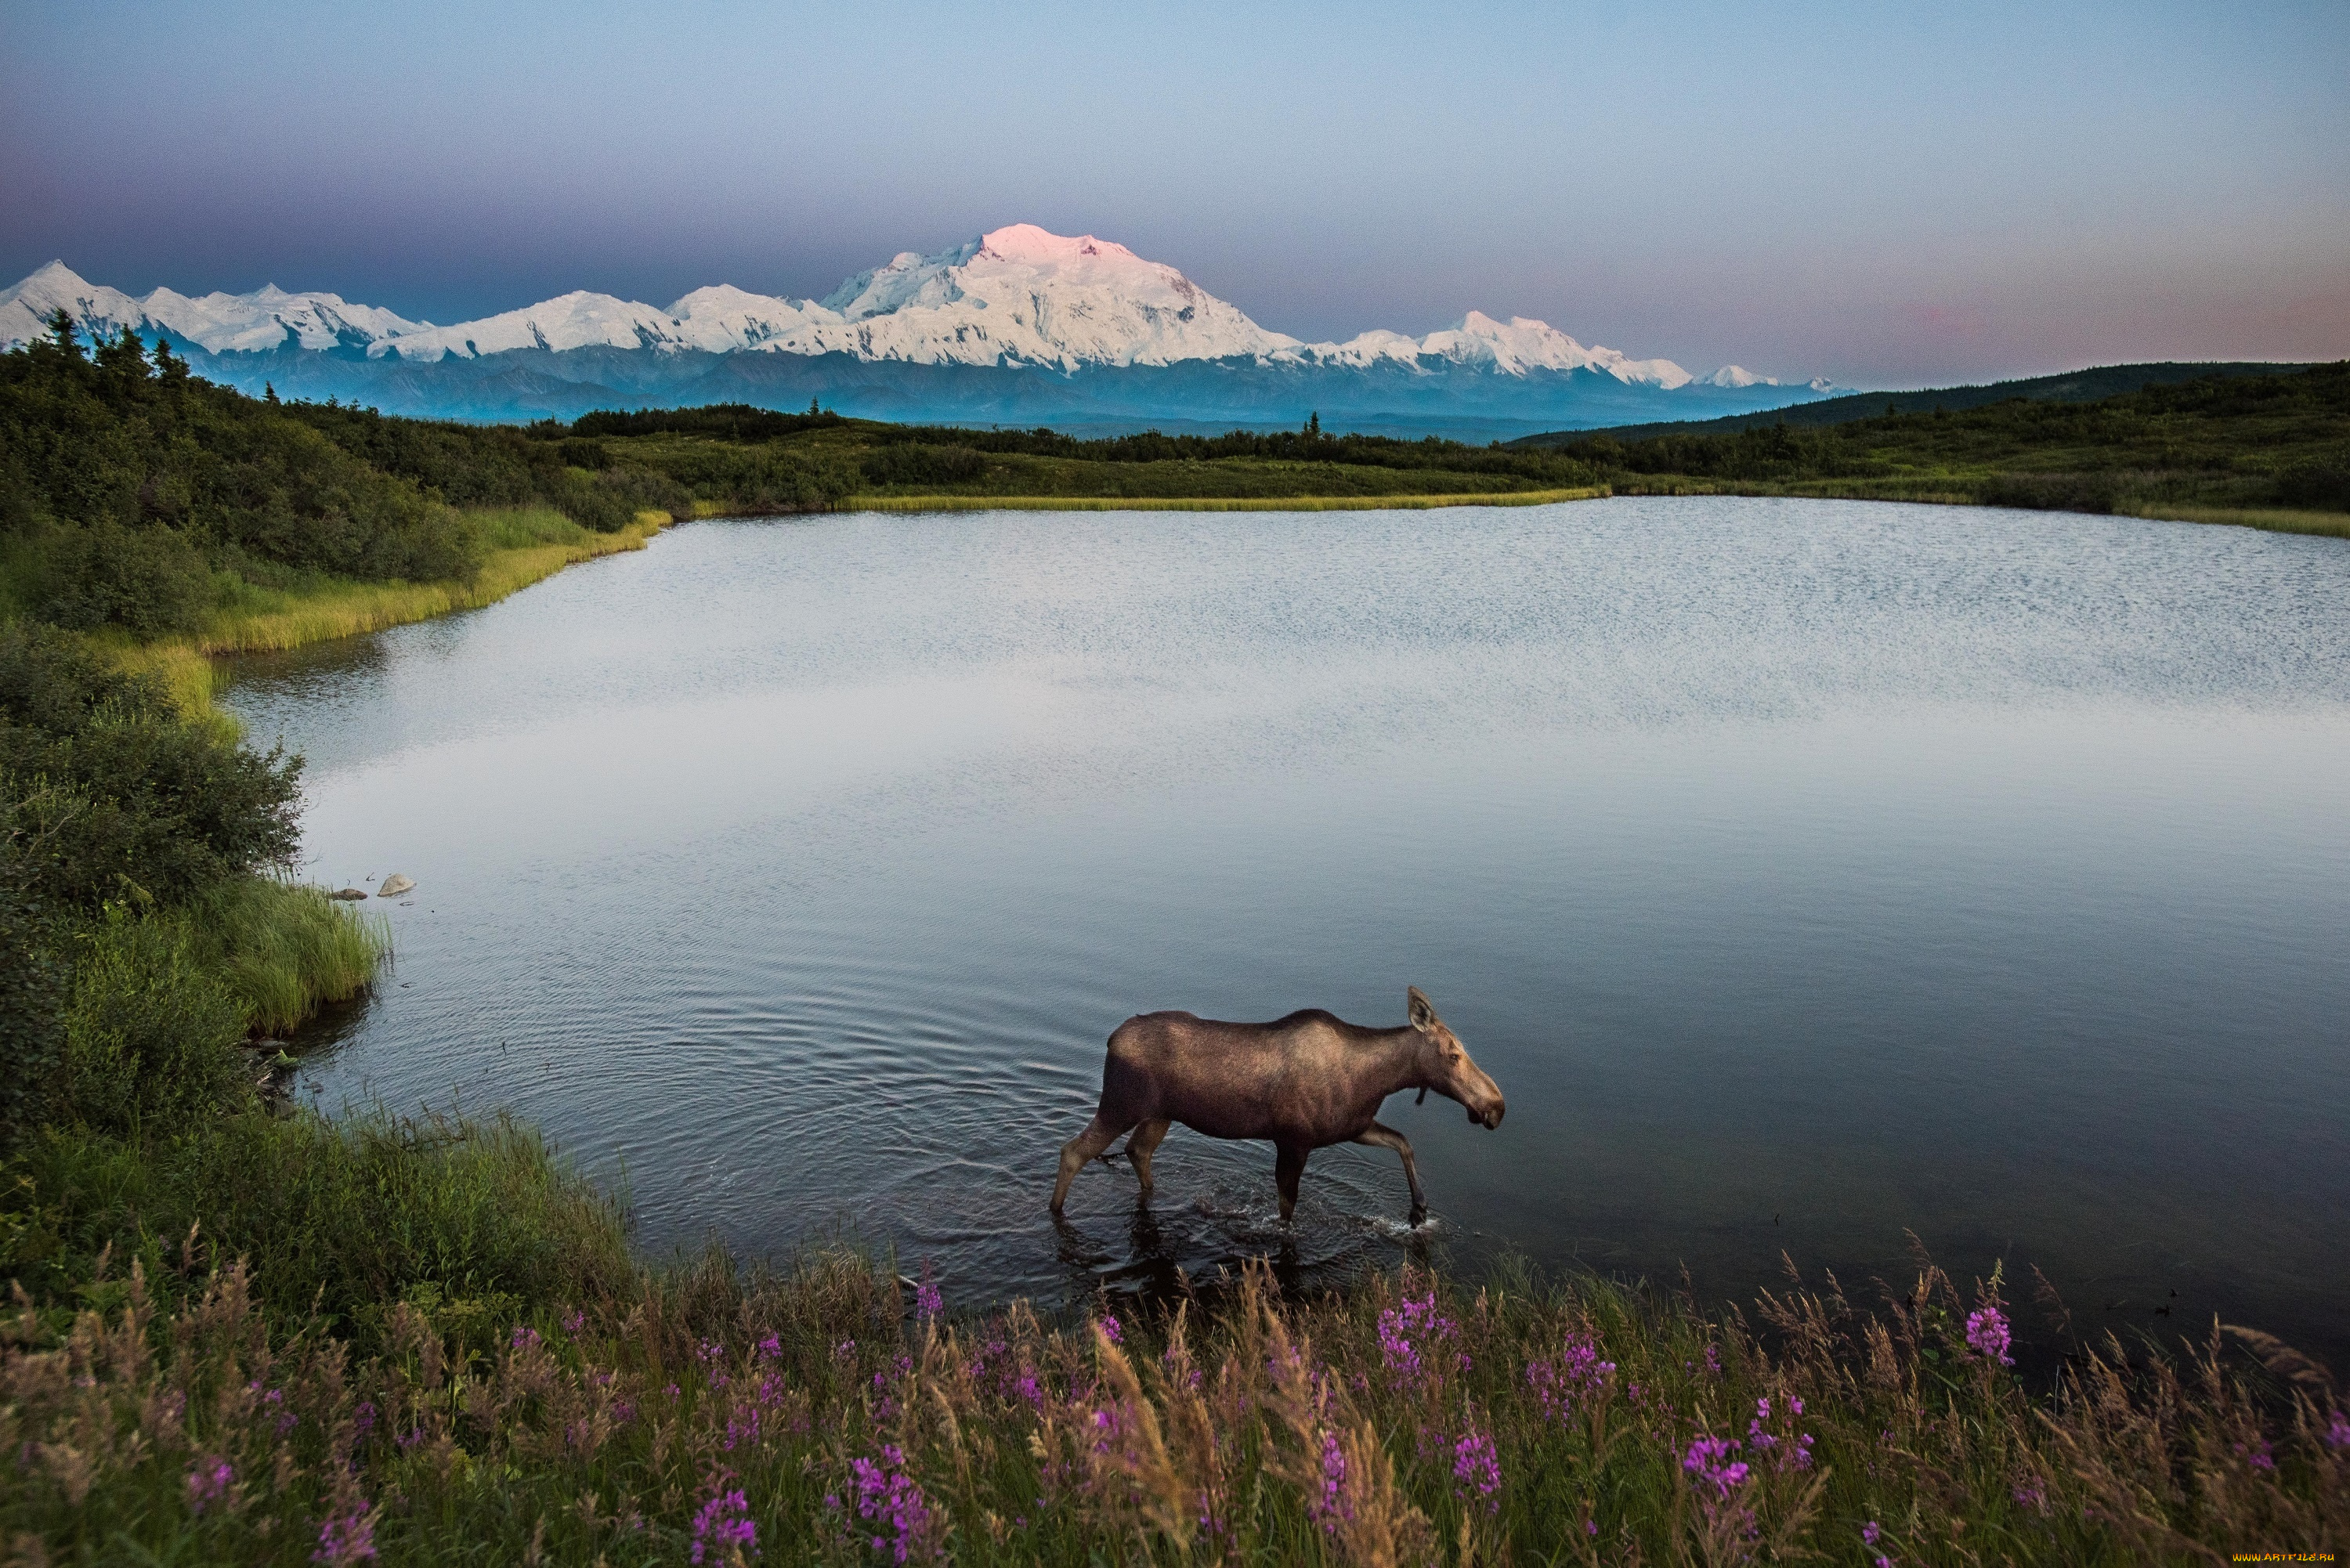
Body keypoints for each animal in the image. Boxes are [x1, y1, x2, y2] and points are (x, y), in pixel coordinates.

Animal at [1048, 992, 1504, 1222]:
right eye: (1453, 1055)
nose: (1497, 1106)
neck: (1374, 1081)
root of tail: (1111, 1040)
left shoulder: (1354, 1126)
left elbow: (1403, 1141)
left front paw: (1419, 1206)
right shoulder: (1293, 1141)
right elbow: (1286, 1211)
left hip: (1160, 1114)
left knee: (1136, 1151)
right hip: (1120, 1104)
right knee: (1073, 1151)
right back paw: (1055, 1212)